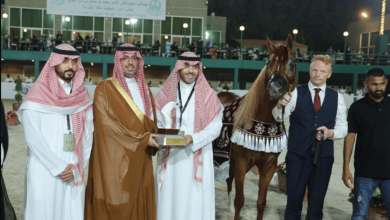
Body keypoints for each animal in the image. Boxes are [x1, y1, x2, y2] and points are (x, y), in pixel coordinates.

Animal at [212, 34, 298, 220]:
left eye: (292, 61)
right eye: (268, 61)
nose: (275, 86)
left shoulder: (268, 167)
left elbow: (261, 203)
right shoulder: (242, 163)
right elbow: (240, 200)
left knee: (228, 180)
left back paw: (229, 210)